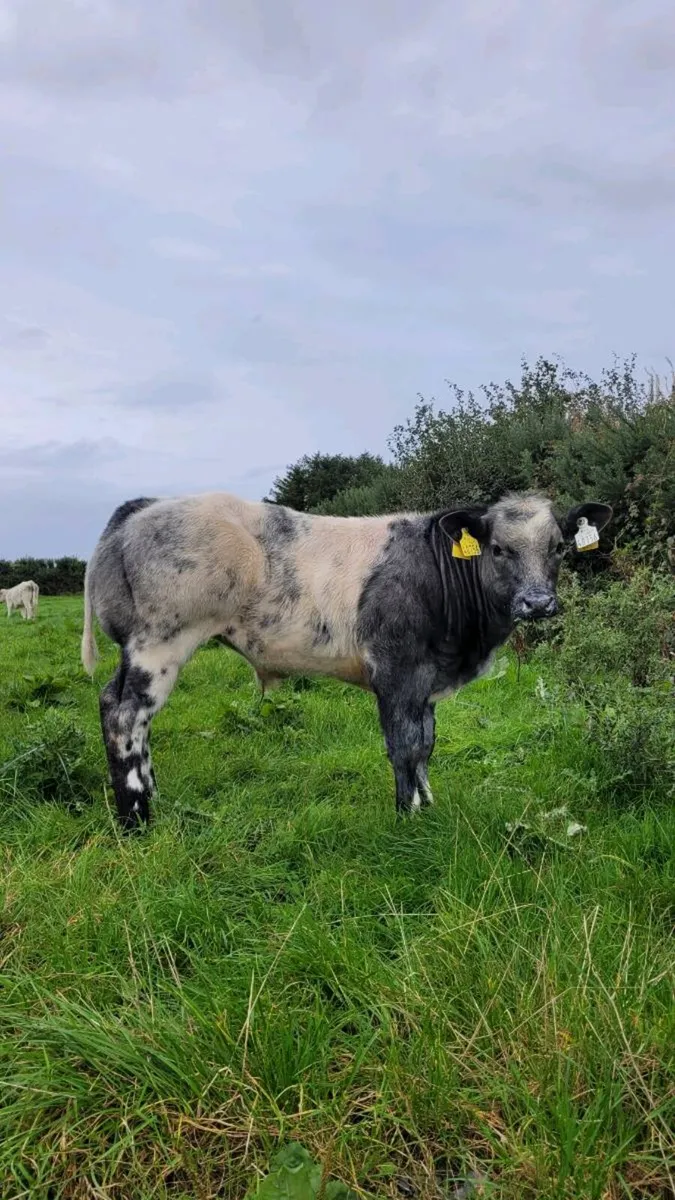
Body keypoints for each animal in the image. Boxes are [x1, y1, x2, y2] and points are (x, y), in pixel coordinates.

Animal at [81, 491, 612, 832]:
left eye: (559, 547)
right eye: (499, 549)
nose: (538, 603)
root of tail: (146, 506)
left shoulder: (423, 681)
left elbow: (425, 745)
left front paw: (428, 806)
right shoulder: (396, 671)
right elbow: (403, 746)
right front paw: (407, 817)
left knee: (126, 713)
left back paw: (153, 798)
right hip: (160, 642)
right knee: (123, 713)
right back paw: (136, 818)